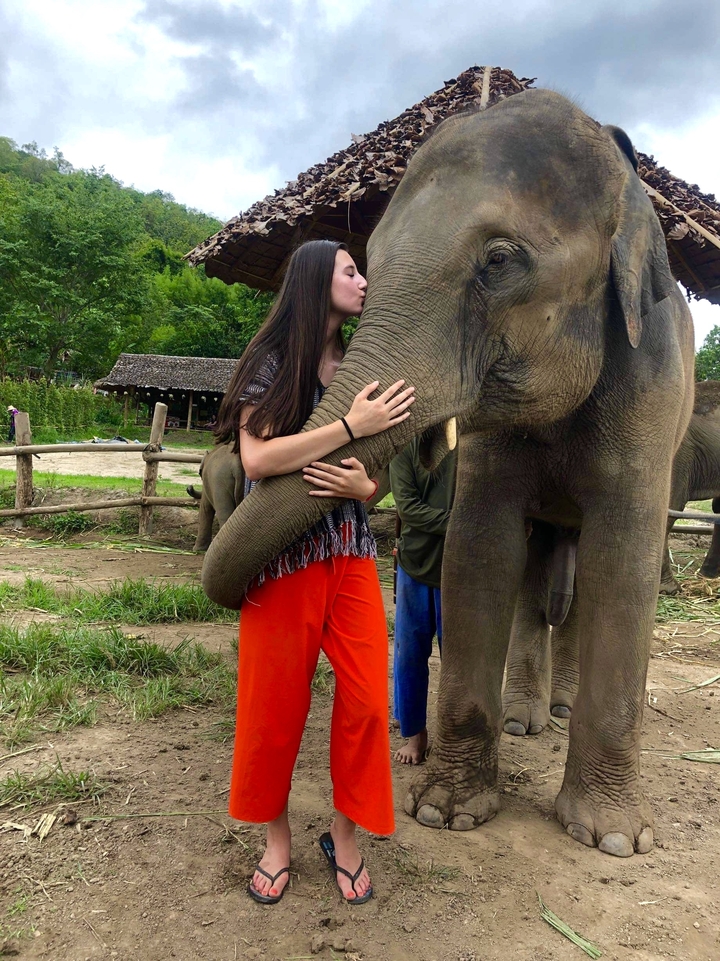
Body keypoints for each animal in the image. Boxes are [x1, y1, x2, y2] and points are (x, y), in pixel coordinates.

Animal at [202, 89, 694, 858]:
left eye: (499, 260)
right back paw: (527, 720)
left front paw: (613, 838)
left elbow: (624, 564)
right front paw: (447, 812)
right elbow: (480, 552)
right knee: (540, 568)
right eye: (365, 263)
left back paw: (557, 714)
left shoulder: (651, 387)